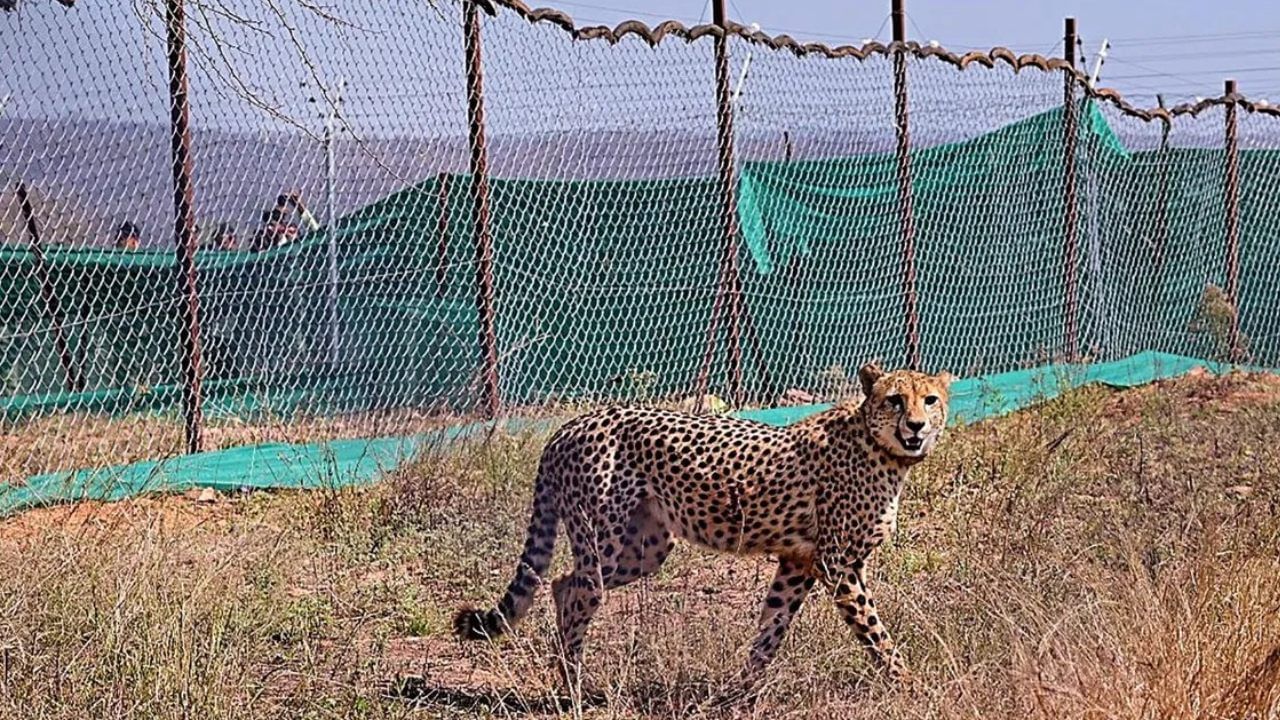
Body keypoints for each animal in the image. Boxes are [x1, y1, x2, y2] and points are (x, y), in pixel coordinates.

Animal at [453, 361, 952, 691]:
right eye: (895, 400)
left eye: (930, 400)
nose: (916, 425)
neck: (881, 447)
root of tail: (570, 425)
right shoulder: (837, 565)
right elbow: (875, 631)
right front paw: (909, 684)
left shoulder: (799, 562)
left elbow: (770, 629)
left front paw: (740, 693)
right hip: (604, 540)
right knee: (578, 591)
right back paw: (573, 690)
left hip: (646, 549)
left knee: (561, 583)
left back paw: (569, 677)